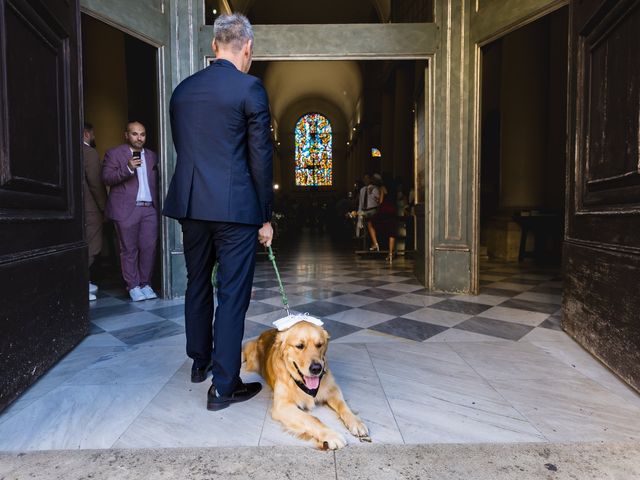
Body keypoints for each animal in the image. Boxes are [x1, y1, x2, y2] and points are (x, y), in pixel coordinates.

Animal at [241, 318, 368, 450]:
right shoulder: (282, 406)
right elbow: (312, 419)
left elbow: (343, 406)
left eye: (319, 344)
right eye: (299, 346)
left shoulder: (333, 390)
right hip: (252, 358)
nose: (317, 368)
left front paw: (356, 422)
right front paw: (331, 435)